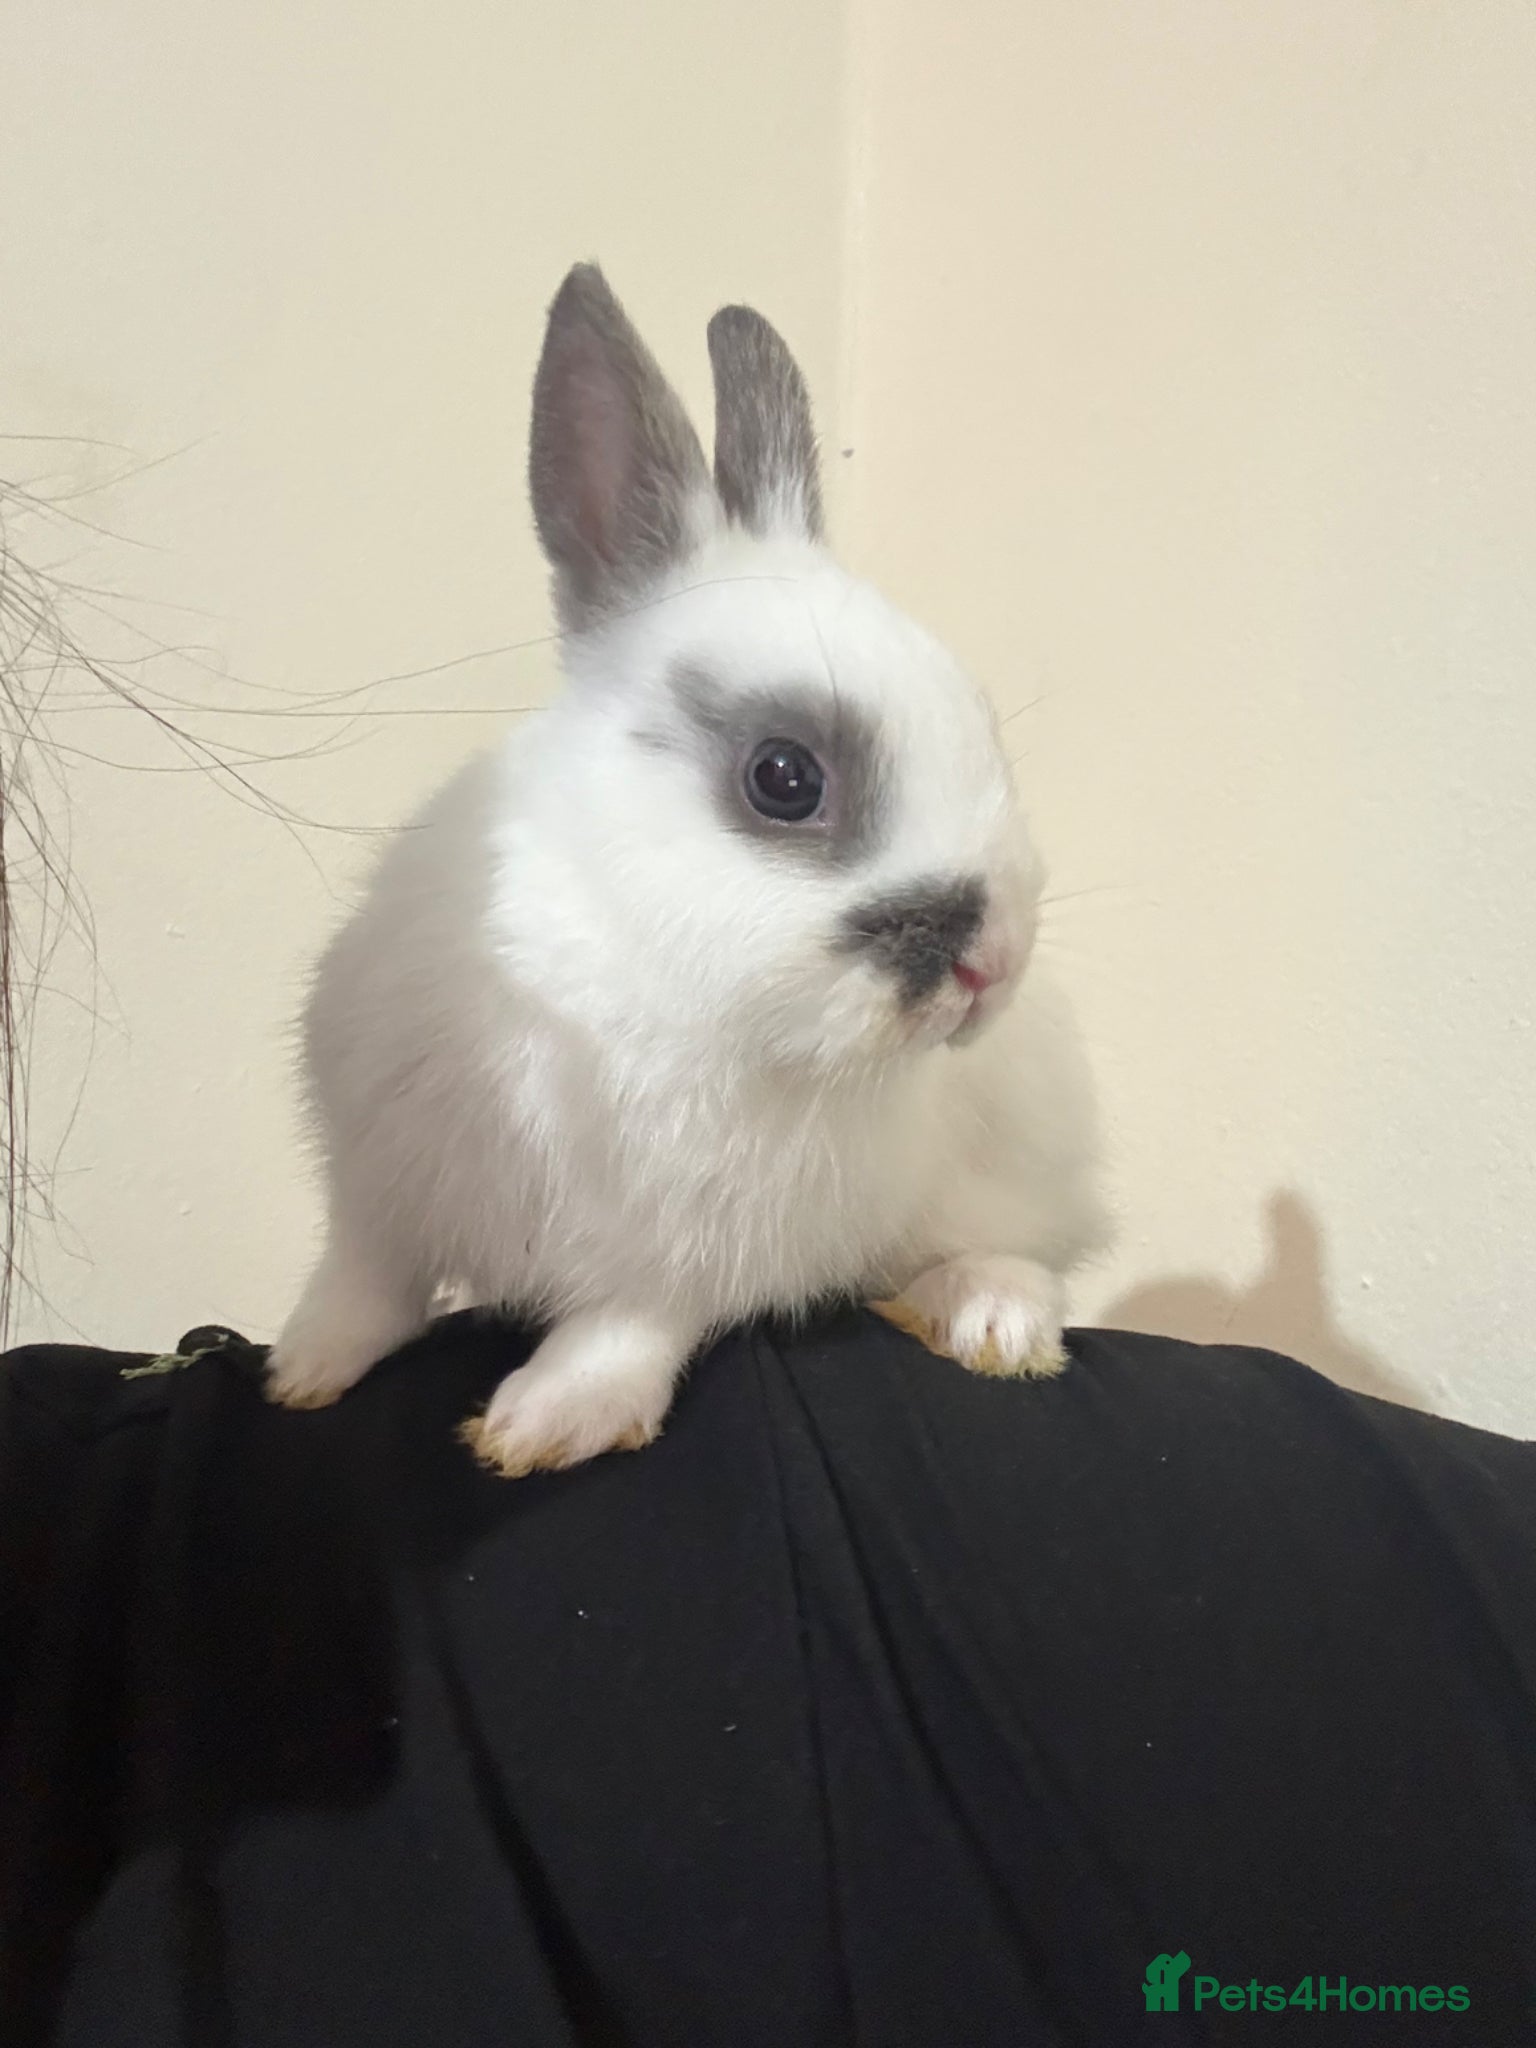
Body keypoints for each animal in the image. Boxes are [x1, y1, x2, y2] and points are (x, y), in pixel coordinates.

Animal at [266, 261, 1110, 1476]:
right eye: (784, 777)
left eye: (985, 723)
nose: (992, 965)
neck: (627, 961)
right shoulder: (381, 1183)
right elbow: (363, 1281)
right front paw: (302, 1369)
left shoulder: (685, 1252)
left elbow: (625, 1325)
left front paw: (545, 1422)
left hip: (1016, 1159)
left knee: (1026, 1247)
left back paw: (992, 1319)